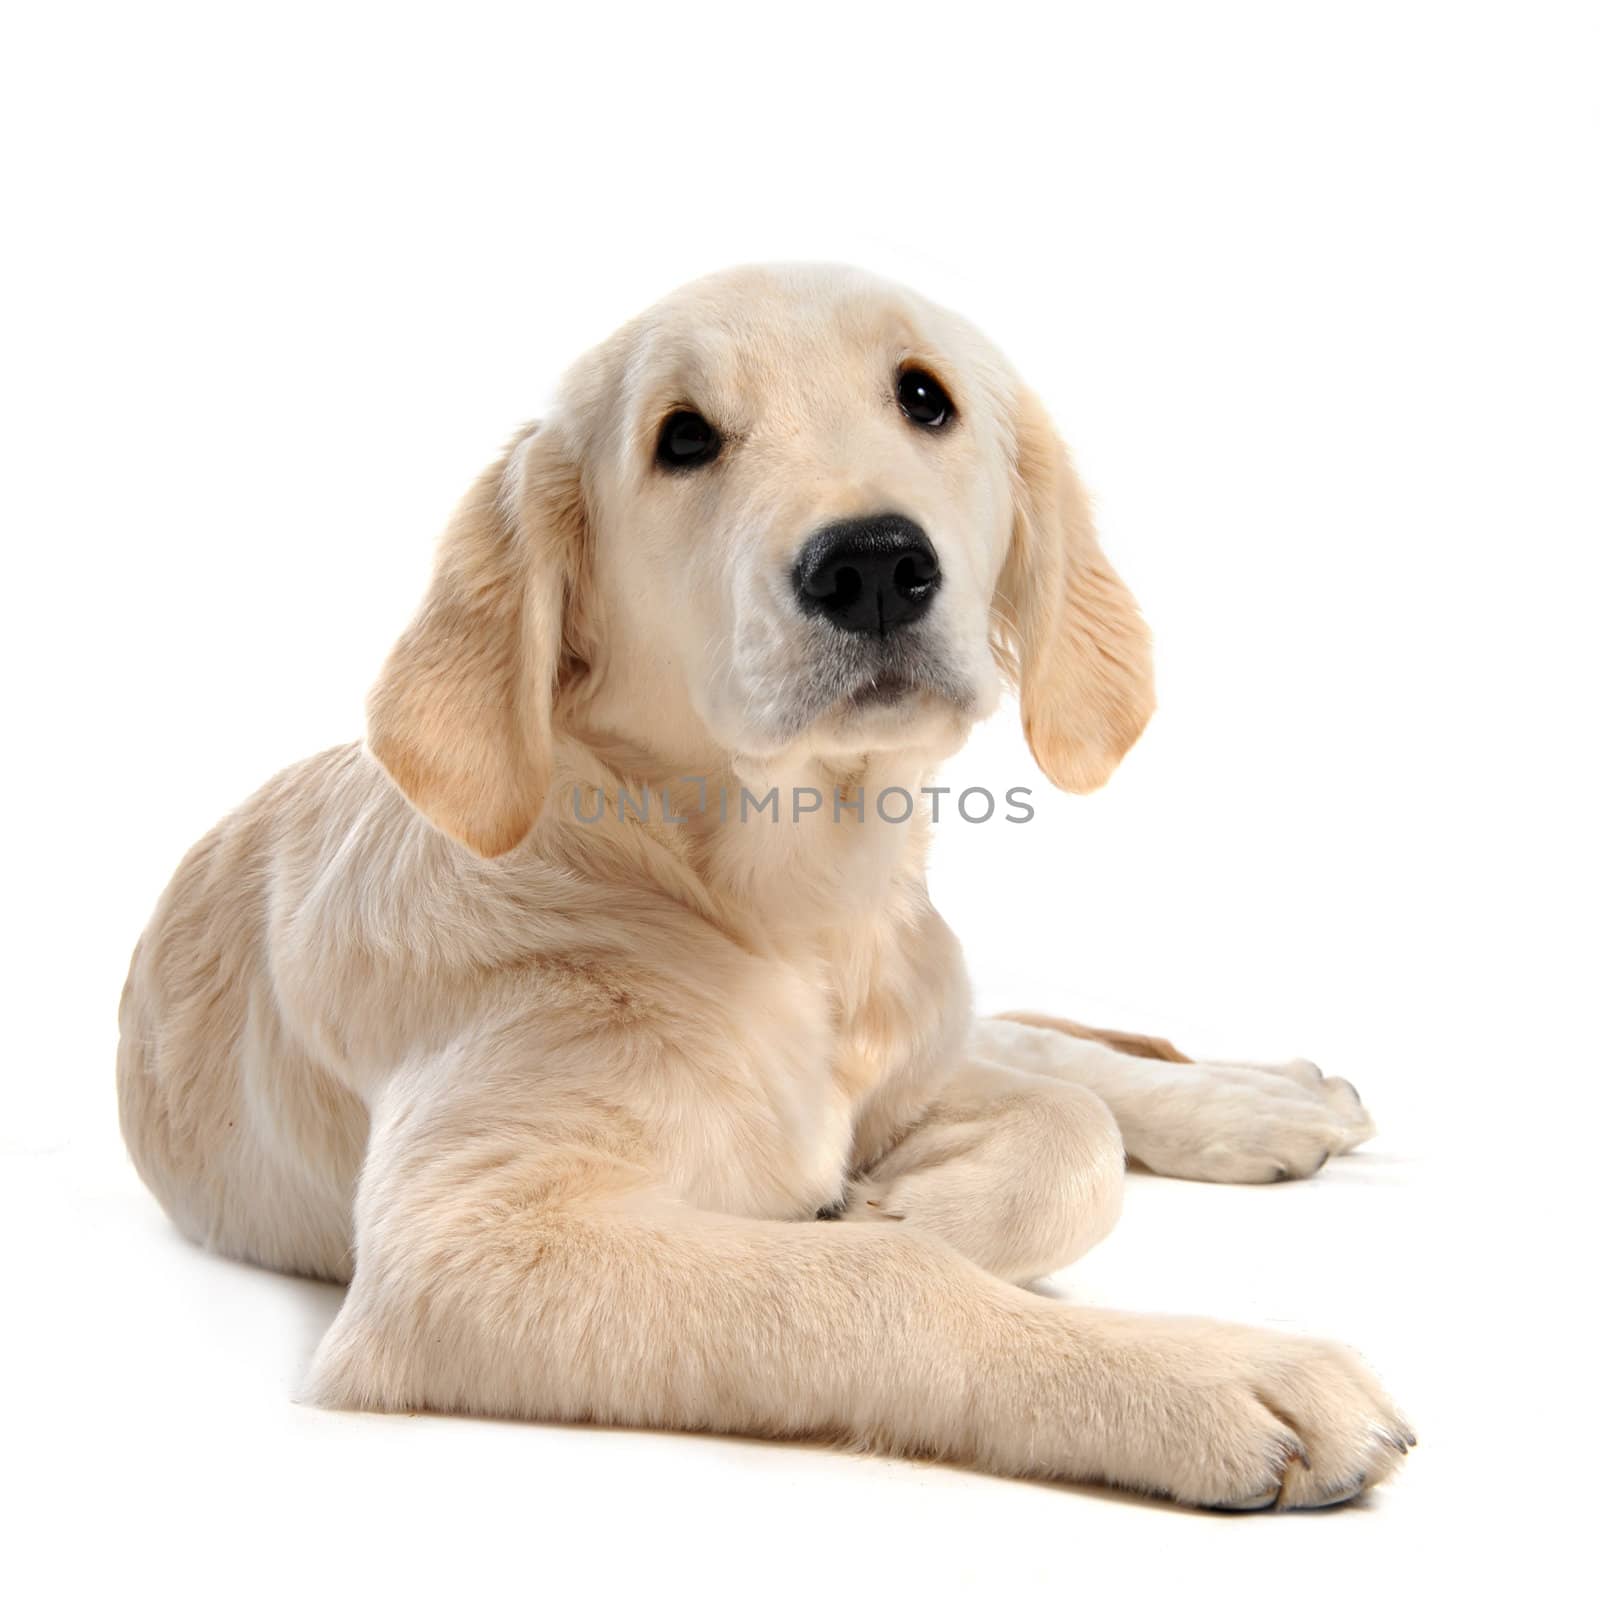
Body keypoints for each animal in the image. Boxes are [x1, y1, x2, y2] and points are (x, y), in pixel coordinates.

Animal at [118, 265, 1408, 1510]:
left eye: (925, 397)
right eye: (682, 437)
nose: (874, 564)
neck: (784, 901)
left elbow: (1058, 1133)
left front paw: (912, 1197)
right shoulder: (460, 1248)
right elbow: (884, 1275)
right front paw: (1203, 1369)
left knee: (1038, 1051)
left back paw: (1263, 1099)